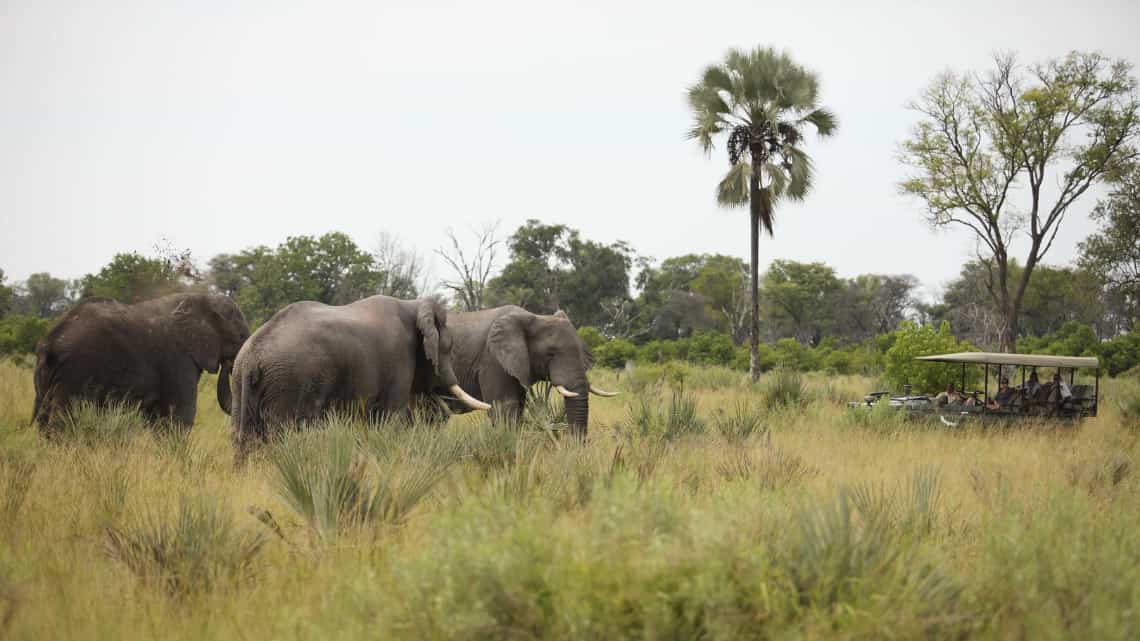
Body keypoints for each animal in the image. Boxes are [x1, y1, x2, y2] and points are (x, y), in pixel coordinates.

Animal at [31, 291, 251, 431]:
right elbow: (179, 417)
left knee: (43, 419)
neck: (202, 298)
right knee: (62, 418)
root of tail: (51, 340)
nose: (229, 364)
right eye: (241, 336)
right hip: (75, 372)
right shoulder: (177, 359)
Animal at [226, 291, 485, 460]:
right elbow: (390, 417)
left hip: (240, 383)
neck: (413, 305)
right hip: (288, 383)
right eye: (449, 348)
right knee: (281, 435)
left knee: (243, 437)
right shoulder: (399, 359)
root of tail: (252, 356)